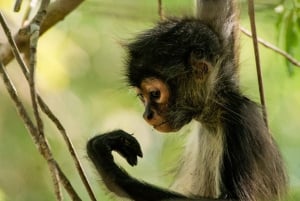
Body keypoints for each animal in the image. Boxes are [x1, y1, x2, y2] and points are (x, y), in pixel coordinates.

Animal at [86, 0, 286, 201]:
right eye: (142, 97)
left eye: (155, 94)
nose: (147, 115)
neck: (213, 116)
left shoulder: (239, 114)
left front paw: (111, 172)